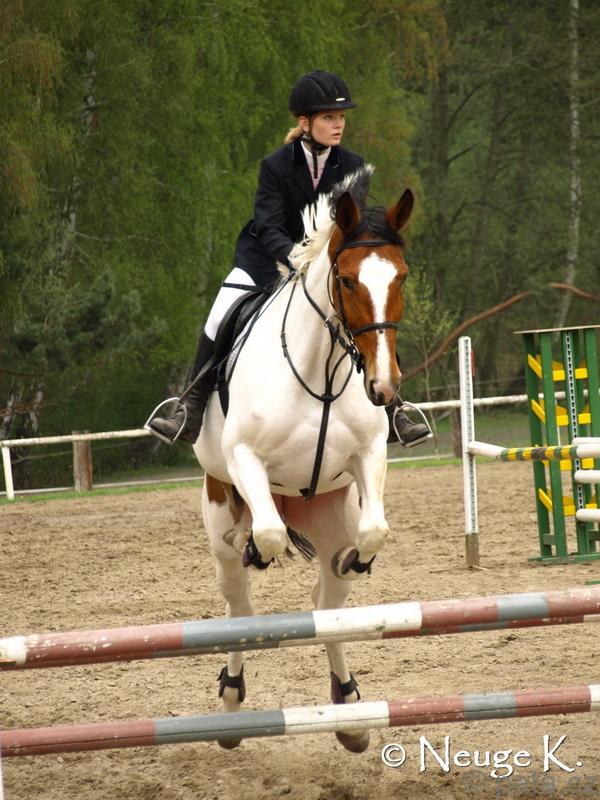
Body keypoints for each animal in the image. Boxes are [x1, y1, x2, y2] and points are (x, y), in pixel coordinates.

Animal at [194, 166, 413, 752]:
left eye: (402, 278)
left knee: (328, 607)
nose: (384, 387)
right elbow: (267, 536)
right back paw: (231, 701)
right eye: (348, 281)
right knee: (240, 604)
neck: (320, 368)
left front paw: (359, 557)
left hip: (330, 514)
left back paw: (349, 708)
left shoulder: (367, 455)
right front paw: (256, 546)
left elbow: (376, 531)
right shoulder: (244, 458)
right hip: (220, 512)